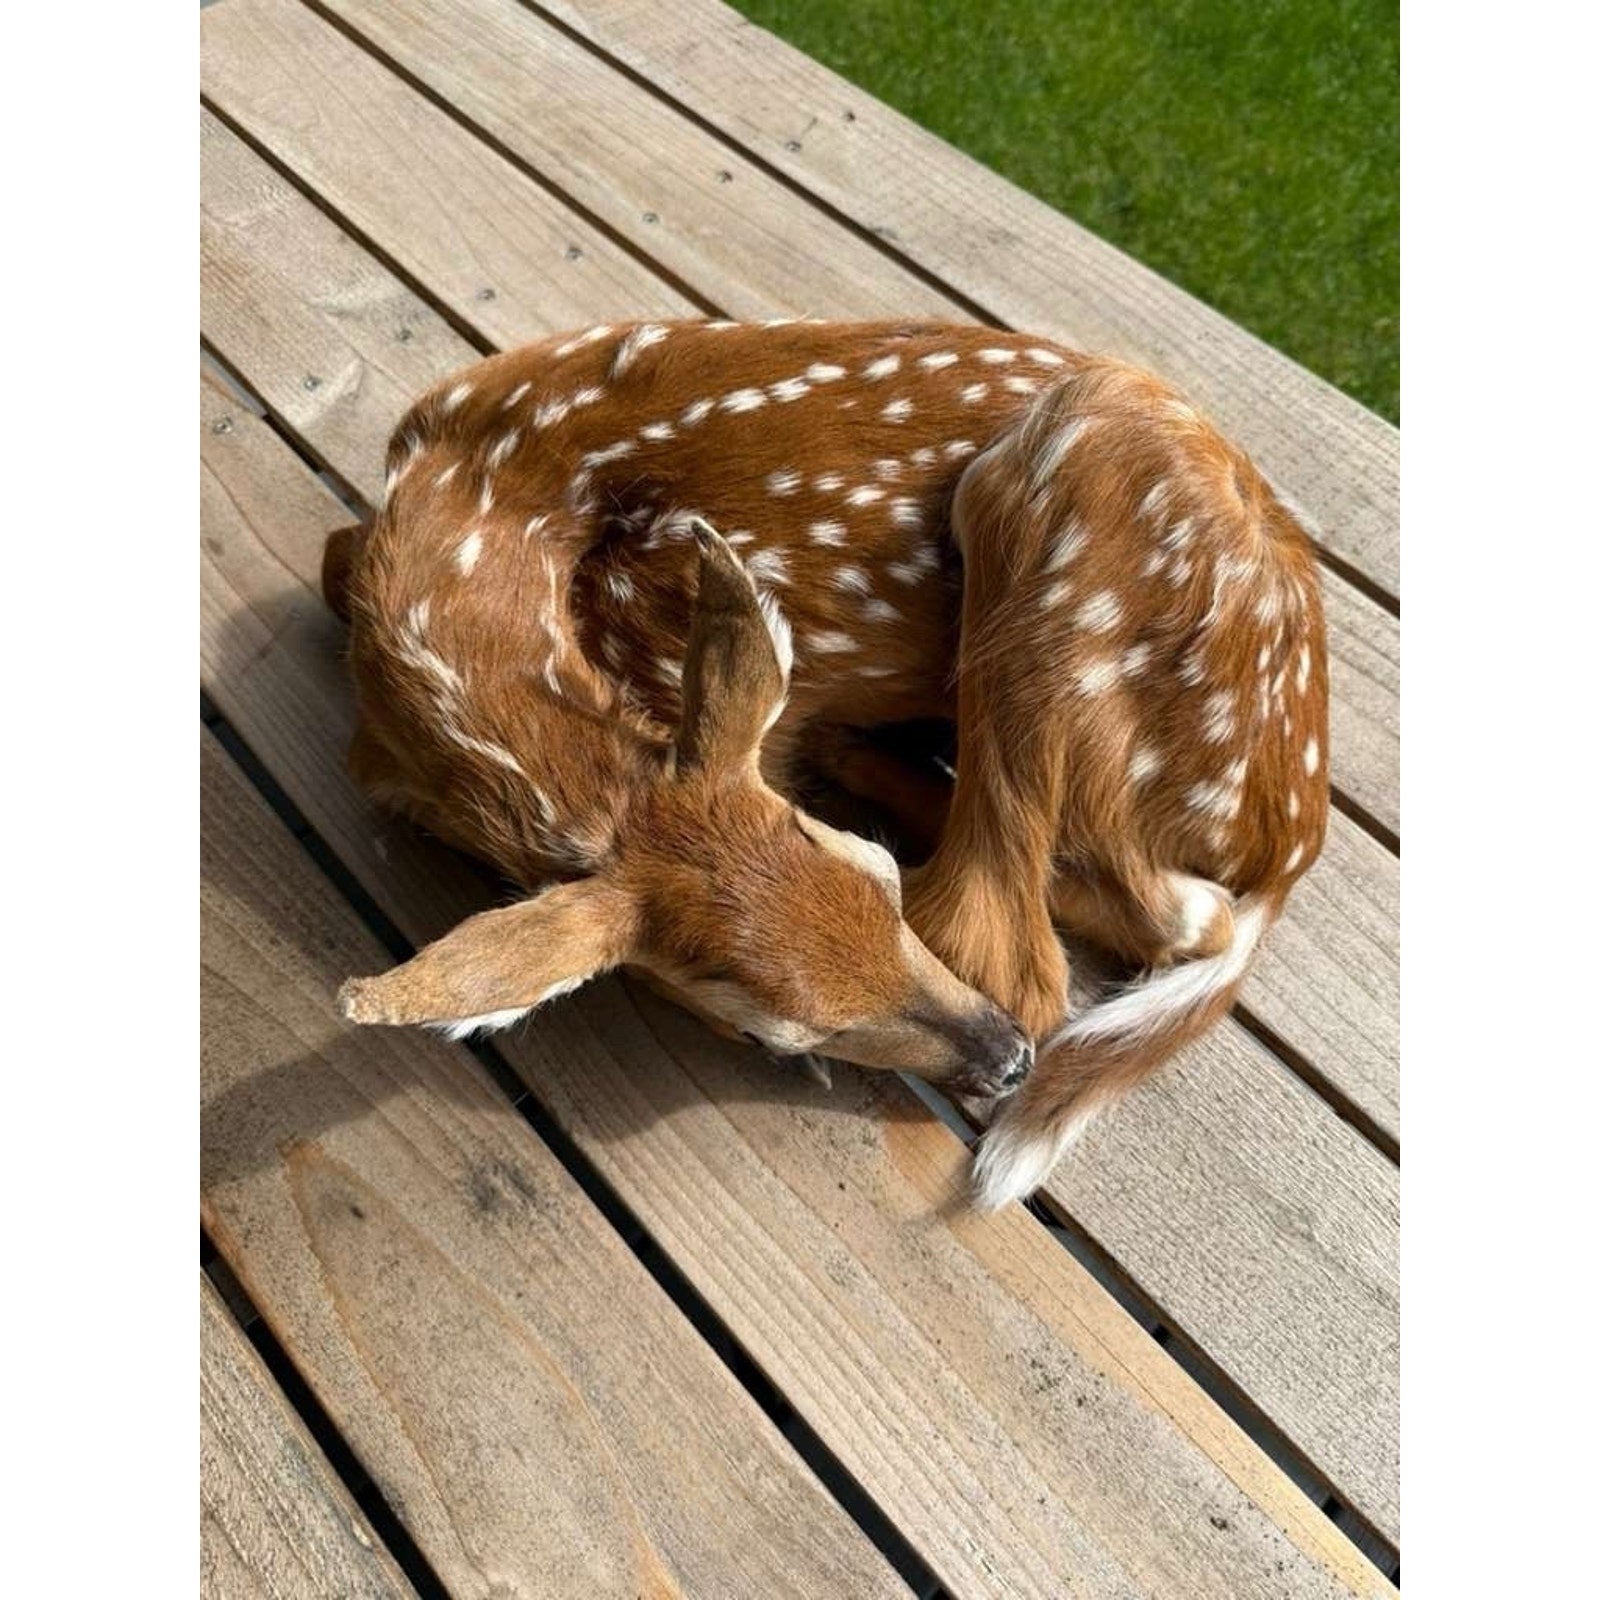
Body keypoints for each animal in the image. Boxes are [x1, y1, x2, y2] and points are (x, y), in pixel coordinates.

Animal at [325, 317, 1329, 1210]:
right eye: (767, 1034)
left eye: (878, 873)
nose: (1006, 1063)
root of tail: (1289, 841)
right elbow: (333, 554)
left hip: (1071, 465)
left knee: (1041, 944)